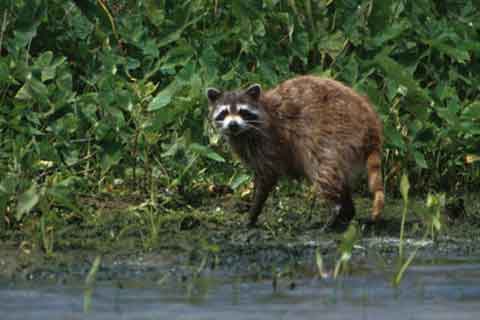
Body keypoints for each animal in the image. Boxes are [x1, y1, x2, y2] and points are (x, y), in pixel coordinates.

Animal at [204, 75, 384, 230]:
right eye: (224, 112)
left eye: (243, 111)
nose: (233, 125)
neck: (244, 132)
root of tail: (370, 122)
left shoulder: (269, 141)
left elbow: (267, 177)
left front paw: (253, 214)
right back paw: (347, 212)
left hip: (334, 134)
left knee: (322, 169)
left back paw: (336, 209)